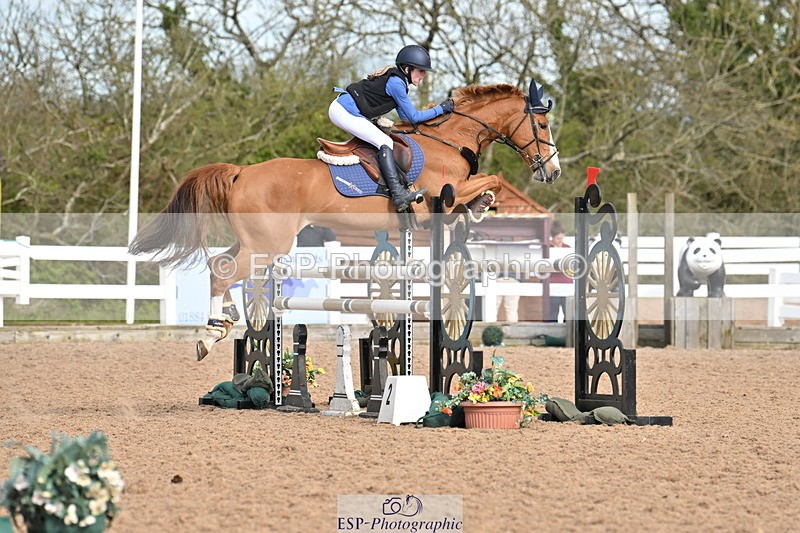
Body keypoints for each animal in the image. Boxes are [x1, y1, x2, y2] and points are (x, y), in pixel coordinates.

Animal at [129, 80, 561, 360]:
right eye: (541, 125)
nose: (552, 171)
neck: (449, 140)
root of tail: (241, 172)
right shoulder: (436, 199)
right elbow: (491, 179)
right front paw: (483, 199)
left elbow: (479, 192)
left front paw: (480, 205)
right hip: (269, 243)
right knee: (224, 273)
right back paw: (208, 336)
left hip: (256, 242)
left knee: (220, 264)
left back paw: (226, 320)